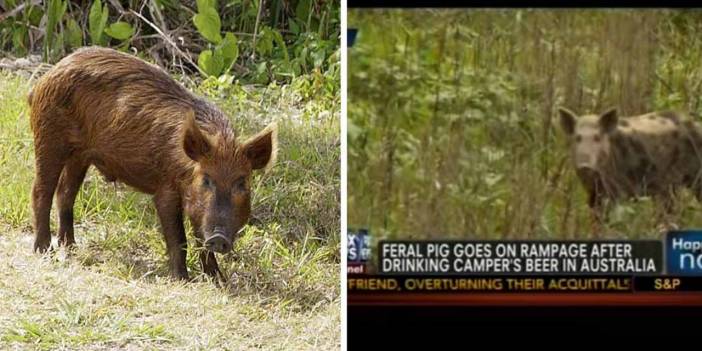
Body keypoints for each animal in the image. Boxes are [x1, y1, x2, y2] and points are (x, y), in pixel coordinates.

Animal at [28, 48, 280, 282]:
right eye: (206, 179)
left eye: (242, 183)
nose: (218, 238)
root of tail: (46, 77)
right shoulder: (165, 189)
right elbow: (179, 238)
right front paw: (182, 279)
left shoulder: (196, 205)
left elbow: (199, 236)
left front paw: (218, 279)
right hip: (49, 137)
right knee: (41, 191)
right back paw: (44, 250)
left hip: (80, 155)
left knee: (65, 193)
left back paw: (70, 247)